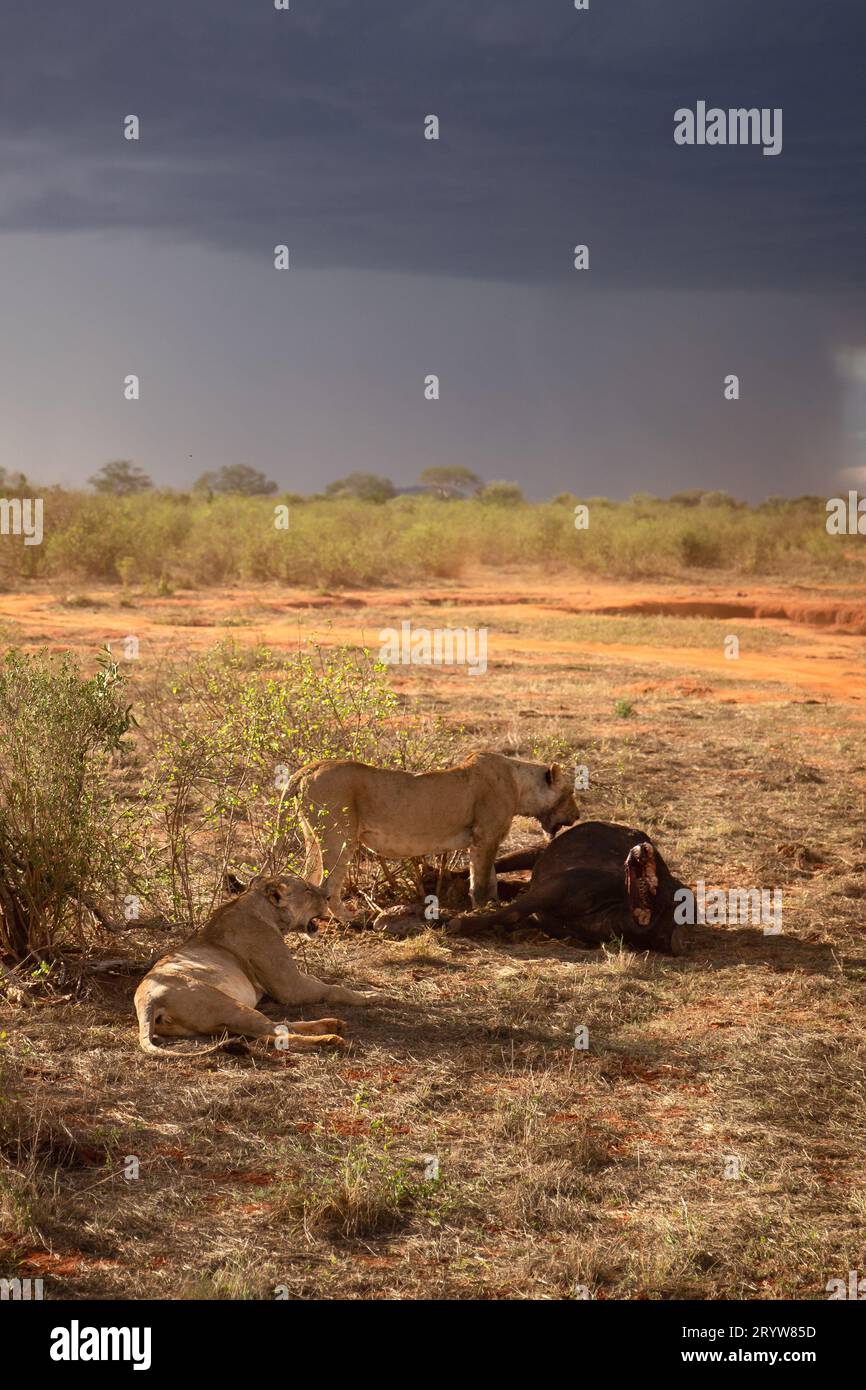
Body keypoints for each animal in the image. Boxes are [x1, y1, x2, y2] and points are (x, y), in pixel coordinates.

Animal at [134, 873, 385, 1058]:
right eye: (307, 890)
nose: (329, 896)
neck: (258, 906)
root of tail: (147, 1000)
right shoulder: (290, 988)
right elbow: (334, 989)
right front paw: (372, 995)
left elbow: (322, 982)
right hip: (227, 1005)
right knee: (274, 1034)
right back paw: (330, 1038)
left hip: (222, 1023)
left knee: (274, 1028)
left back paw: (333, 1024)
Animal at [287, 752, 580, 919]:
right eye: (570, 793)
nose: (577, 816)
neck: (519, 785)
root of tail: (308, 769)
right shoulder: (486, 835)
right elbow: (482, 879)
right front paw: (484, 909)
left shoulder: (481, 839)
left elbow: (489, 877)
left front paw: (493, 904)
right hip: (340, 837)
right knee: (327, 885)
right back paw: (349, 918)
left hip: (313, 837)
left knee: (309, 878)